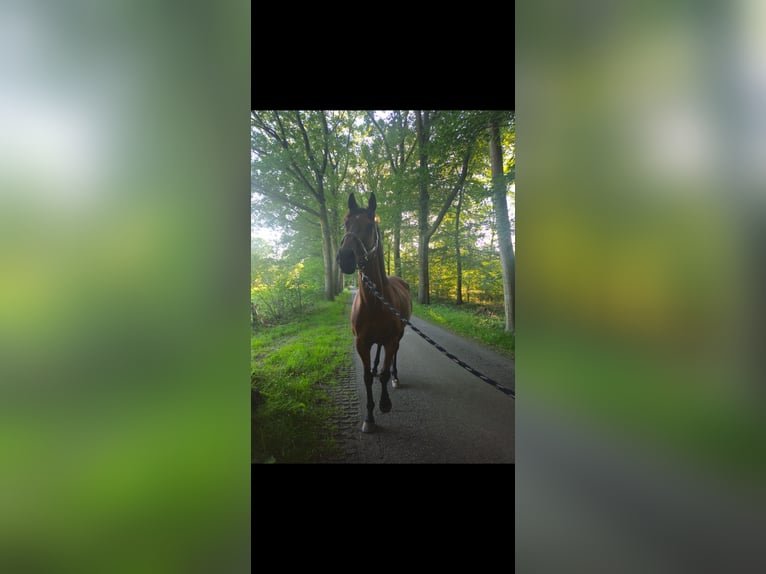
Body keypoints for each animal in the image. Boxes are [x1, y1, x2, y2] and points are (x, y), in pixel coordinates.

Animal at [340, 191, 414, 434]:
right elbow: (366, 378)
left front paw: (384, 403)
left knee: (393, 358)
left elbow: (383, 374)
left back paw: (396, 377)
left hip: (399, 336)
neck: (374, 302)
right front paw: (369, 417)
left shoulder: (391, 339)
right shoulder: (361, 342)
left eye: (370, 226)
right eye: (345, 223)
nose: (345, 258)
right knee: (378, 354)